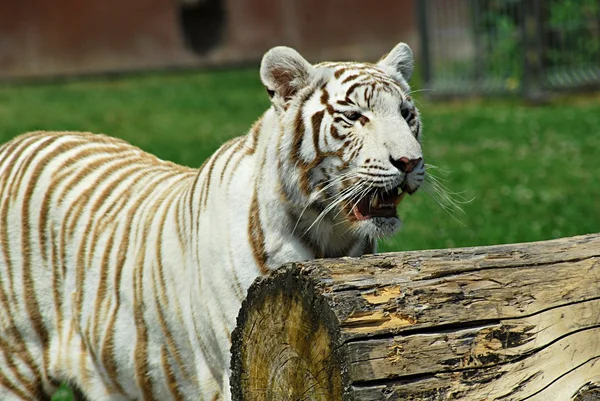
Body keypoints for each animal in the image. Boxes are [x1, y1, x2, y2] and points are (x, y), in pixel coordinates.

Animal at [0, 42, 424, 398]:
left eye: (407, 115)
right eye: (353, 116)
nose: (409, 162)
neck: (330, 236)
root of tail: (17, 141)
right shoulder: (234, 361)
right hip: (15, 361)